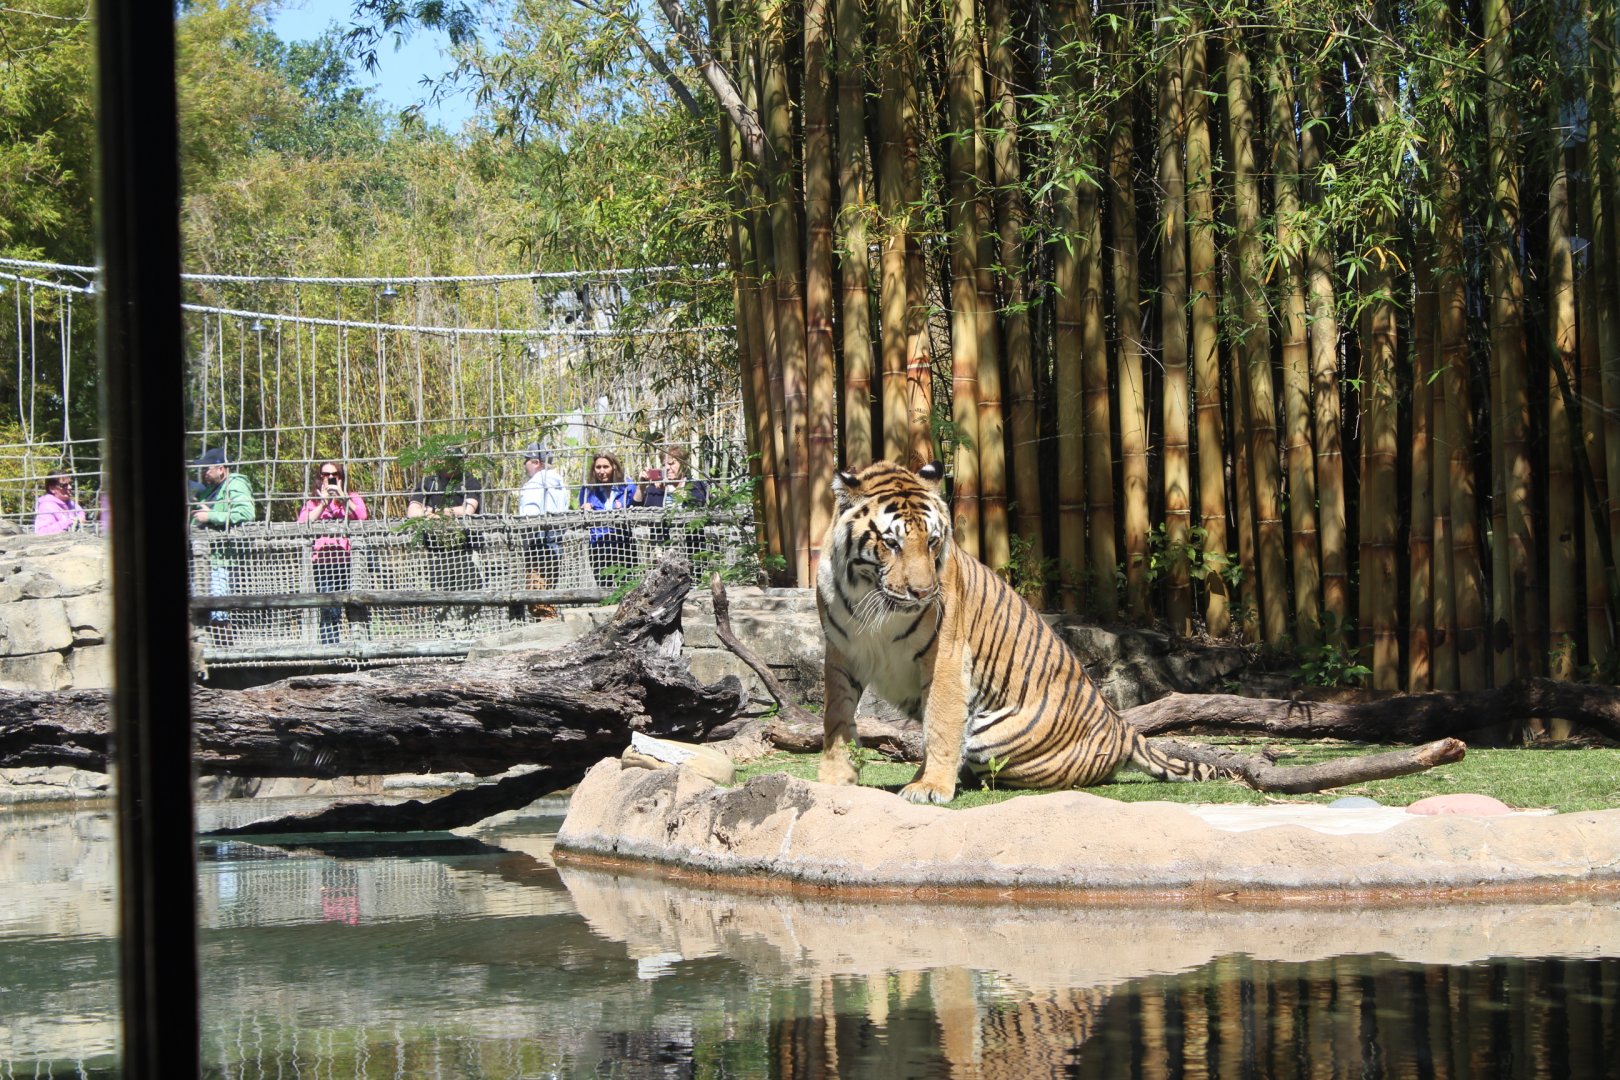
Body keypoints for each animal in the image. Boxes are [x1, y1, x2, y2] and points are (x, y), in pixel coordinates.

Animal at [816, 459, 1223, 804]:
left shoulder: (945, 656)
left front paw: (930, 788)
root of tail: (1122, 726)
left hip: (990, 739)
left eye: (932, 541)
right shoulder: (841, 653)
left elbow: (941, 724)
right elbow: (836, 716)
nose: (923, 592)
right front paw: (835, 780)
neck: (873, 601)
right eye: (891, 543)